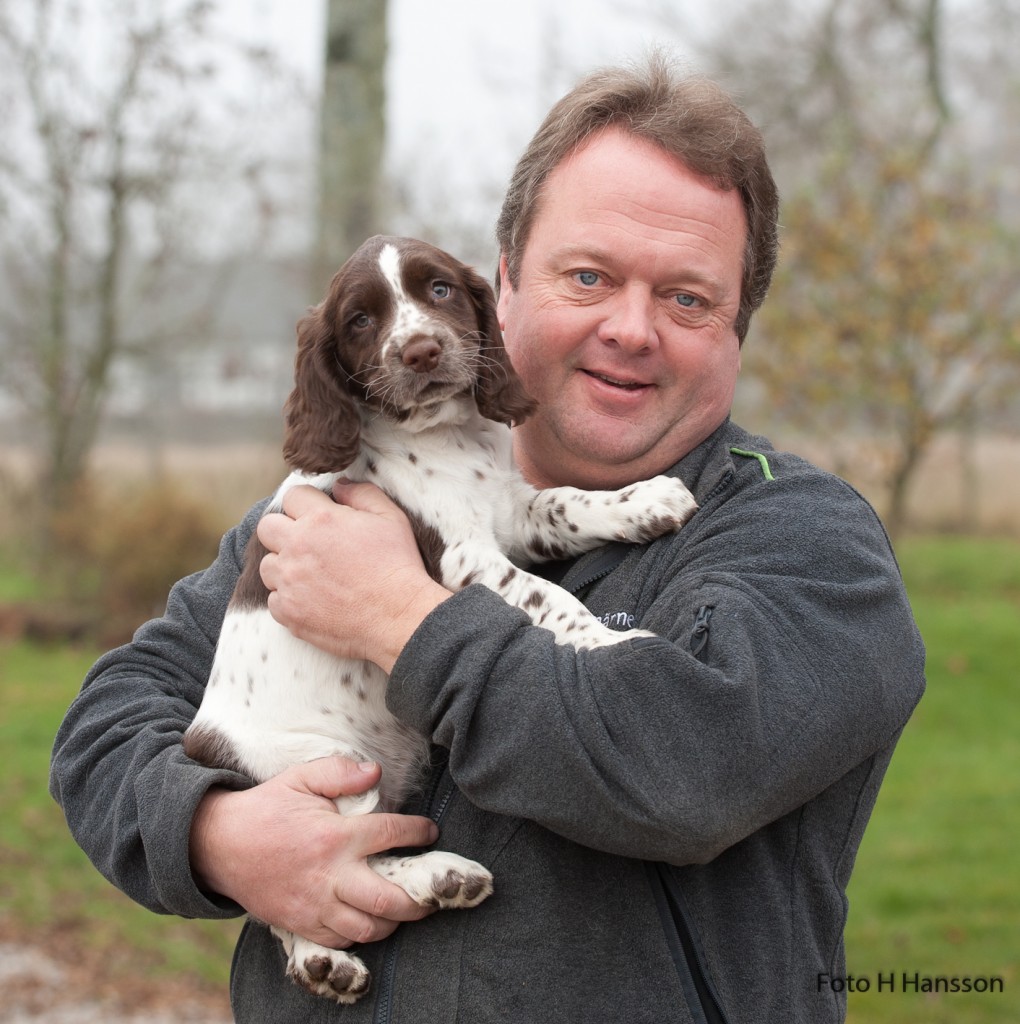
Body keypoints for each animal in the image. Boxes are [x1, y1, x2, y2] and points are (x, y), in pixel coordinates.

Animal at [183, 235, 696, 1003]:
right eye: (360, 320)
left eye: (441, 291)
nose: (421, 351)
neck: (445, 439)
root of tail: (204, 751)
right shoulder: (463, 561)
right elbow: (552, 600)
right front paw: (607, 644)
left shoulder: (513, 514)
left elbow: (568, 502)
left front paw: (648, 500)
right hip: (333, 766)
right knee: (320, 866)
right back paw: (438, 877)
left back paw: (326, 963)